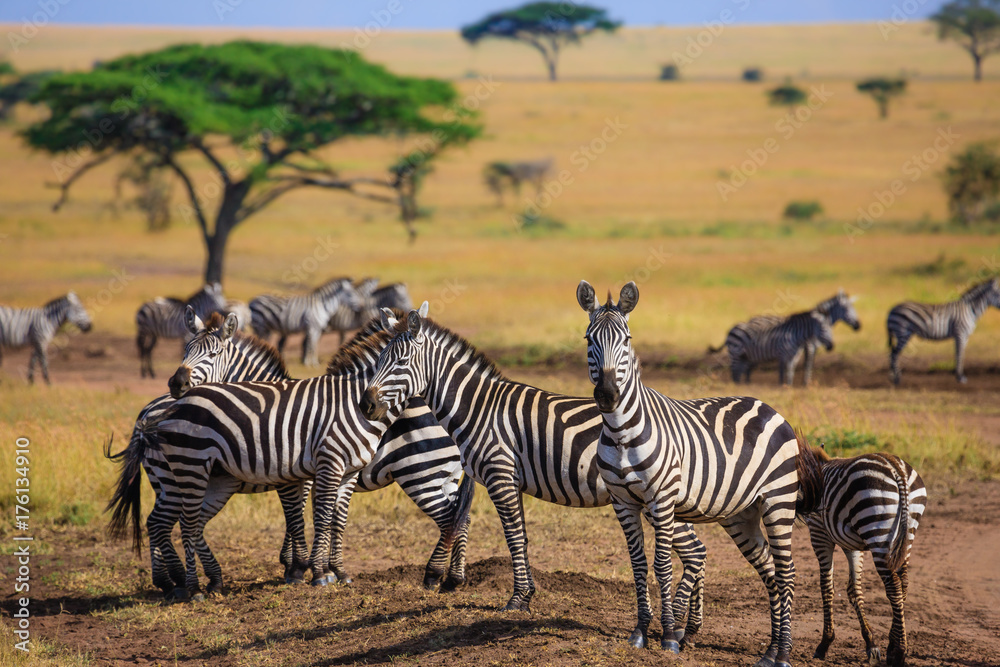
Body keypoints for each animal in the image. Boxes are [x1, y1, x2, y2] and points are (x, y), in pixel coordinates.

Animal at [107, 313, 472, 596]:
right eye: (186, 350)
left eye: (212, 354)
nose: (176, 383)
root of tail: (149, 414)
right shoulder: (302, 474)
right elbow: (304, 518)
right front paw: (306, 568)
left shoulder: (305, 475)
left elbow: (308, 518)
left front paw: (303, 567)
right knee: (161, 523)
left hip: (426, 472)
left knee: (454, 517)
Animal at [359, 305, 710, 644]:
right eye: (378, 361)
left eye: (401, 361)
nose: (365, 405)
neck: (479, 408)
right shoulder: (513, 480)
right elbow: (523, 536)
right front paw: (526, 595)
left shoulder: (499, 474)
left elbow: (513, 536)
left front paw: (516, 601)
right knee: (698, 550)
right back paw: (692, 628)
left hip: (654, 496)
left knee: (694, 552)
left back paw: (679, 623)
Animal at [575, 281, 804, 666]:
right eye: (588, 339)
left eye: (627, 339)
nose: (607, 395)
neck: (620, 432)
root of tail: (768, 406)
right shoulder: (623, 503)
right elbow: (638, 565)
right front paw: (640, 631)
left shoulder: (662, 500)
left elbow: (663, 566)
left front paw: (669, 635)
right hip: (742, 514)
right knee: (770, 572)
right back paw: (770, 650)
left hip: (779, 502)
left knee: (786, 573)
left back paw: (785, 652)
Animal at [797, 442, 926, 667]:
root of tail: (896, 468)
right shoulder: (853, 545)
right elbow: (854, 589)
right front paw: (871, 644)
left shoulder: (819, 533)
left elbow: (826, 587)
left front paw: (824, 643)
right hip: (907, 533)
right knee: (903, 584)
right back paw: (893, 644)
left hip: (877, 530)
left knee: (893, 586)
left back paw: (899, 652)